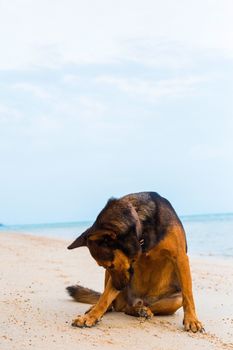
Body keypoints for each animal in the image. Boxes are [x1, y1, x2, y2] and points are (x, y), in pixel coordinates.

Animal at [66, 190, 203, 332]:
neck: (142, 224)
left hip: (175, 299)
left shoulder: (180, 258)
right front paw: (91, 316)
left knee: (139, 308)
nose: (119, 288)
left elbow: (188, 295)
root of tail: (138, 301)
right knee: (117, 305)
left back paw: (142, 310)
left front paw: (192, 319)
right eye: (106, 266)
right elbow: (104, 298)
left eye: (110, 265)